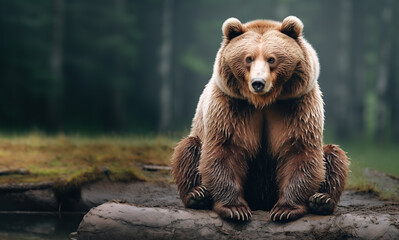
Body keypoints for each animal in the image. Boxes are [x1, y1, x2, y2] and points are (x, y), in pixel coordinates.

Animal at [172, 15, 350, 222]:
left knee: (334, 155)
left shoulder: (296, 106)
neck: (263, 102)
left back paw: (322, 200)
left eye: (271, 59)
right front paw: (235, 209)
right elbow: (225, 149)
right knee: (188, 148)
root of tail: (261, 202)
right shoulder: (231, 106)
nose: (258, 82)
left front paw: (285, 210)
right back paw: (198, 195)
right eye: (248, 58)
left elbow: (299, 150)